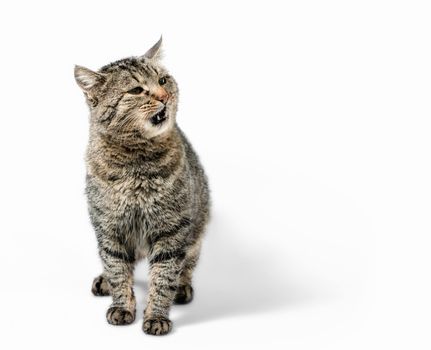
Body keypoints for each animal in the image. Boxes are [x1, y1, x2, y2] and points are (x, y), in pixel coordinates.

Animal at [74, 37, 211, 334]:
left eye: (163, 80)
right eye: (137, 90)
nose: (164, 96)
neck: (136, 164)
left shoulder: (172, 229)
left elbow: (164, 276)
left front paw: (156, 315)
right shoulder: (109, 227)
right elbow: (116, 268)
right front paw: (122, 306)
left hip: (197, 230)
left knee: (187, 265)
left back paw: (182, 287)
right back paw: (104, 280)